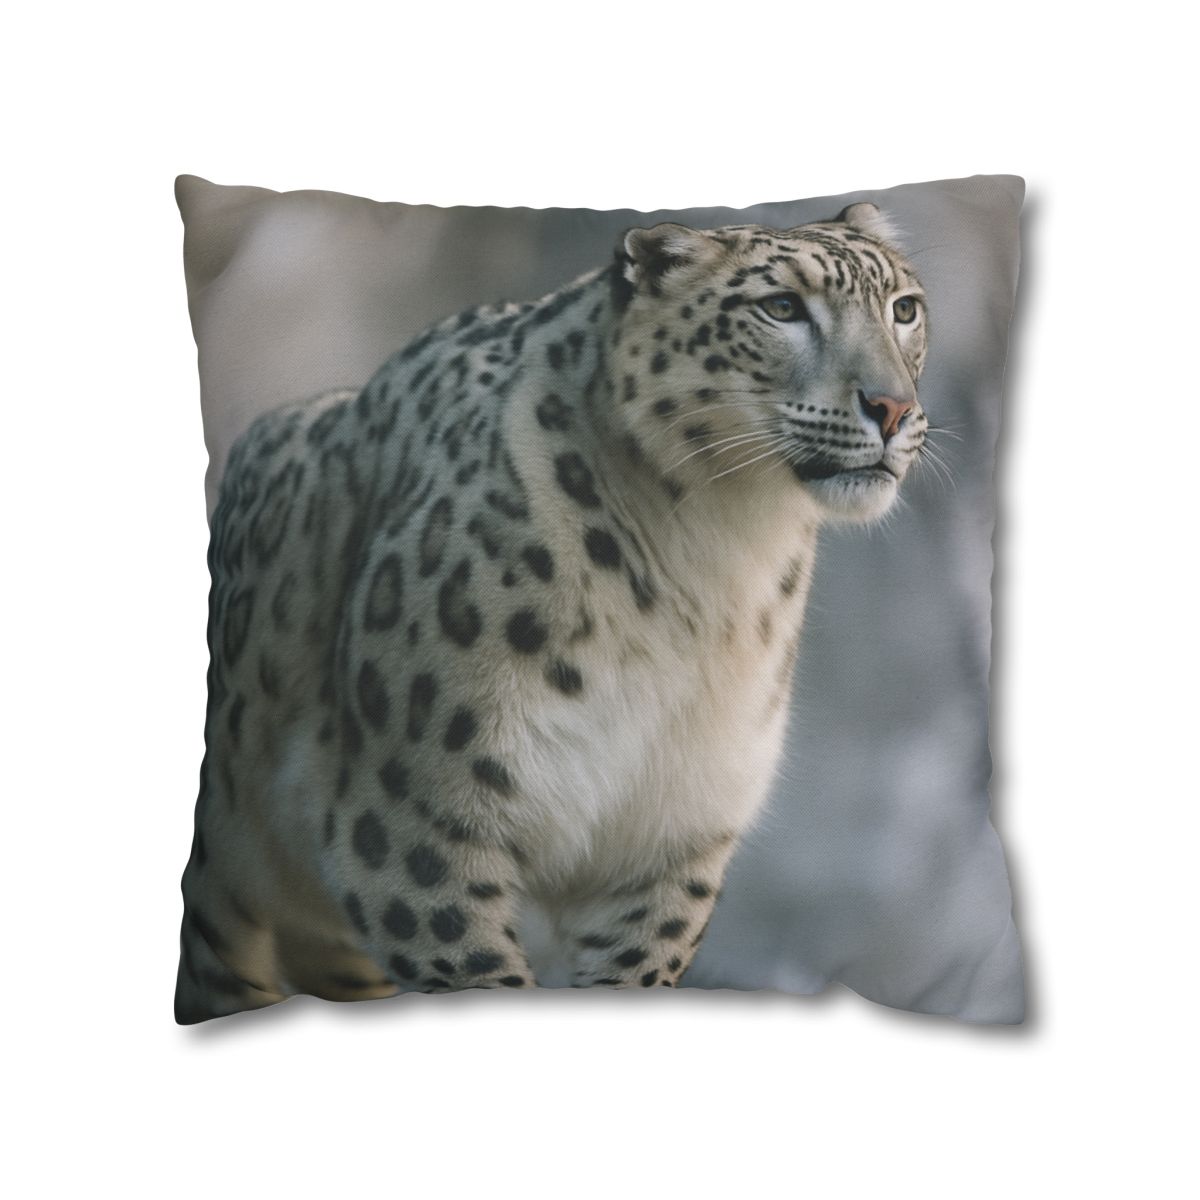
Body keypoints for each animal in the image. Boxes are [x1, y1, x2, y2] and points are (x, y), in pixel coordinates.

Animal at [175, 202, 929, 1022]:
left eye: (904, 309)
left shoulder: (669, 839)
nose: (892, 408)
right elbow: (479, 974)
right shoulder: (412, 825)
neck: (718, 560)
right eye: (782, 308)